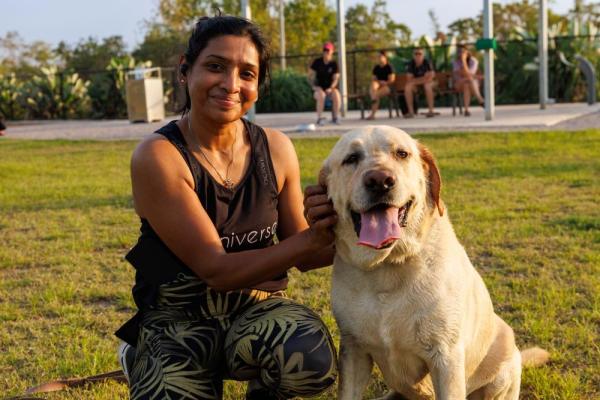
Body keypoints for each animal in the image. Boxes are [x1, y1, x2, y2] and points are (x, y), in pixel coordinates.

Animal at [318, 126, 548, 398]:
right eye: (351, 158)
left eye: (402, 153)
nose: (380, 180)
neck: (387, 267)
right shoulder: (353, 350)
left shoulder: (446, 357)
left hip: (501, 371)